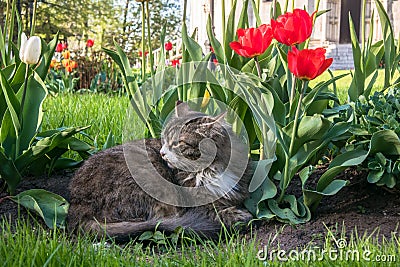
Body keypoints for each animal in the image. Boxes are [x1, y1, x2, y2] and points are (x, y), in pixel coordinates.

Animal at [66, 103, 253, 243]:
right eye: (164, 139)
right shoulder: (197, 206)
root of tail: (77, 211)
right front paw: (241, 216)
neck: (211, 169)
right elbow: (219, 212)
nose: (162, 153)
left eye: (178, 143)